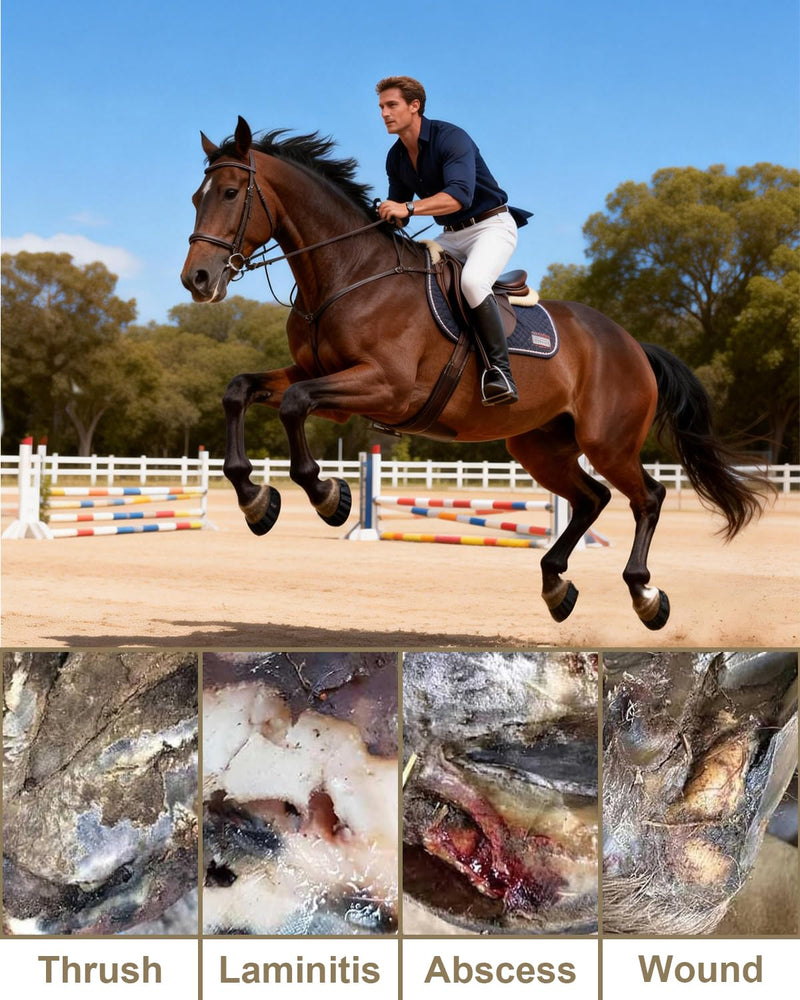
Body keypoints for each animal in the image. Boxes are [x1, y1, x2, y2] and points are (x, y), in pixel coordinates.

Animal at [181, 116, 769, 631]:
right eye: (195, 198)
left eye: (230, 194)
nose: (197, 280)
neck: (348, 274)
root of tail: (632, 345)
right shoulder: (322, 377)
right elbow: (242, 391)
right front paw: (256, 501)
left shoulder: (384, 387)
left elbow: (294, 404)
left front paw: (328, 497)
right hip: (538, 445)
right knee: (591, 499)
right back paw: (556, 585)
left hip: (608, 442)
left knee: (647, 497)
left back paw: (645, 595)